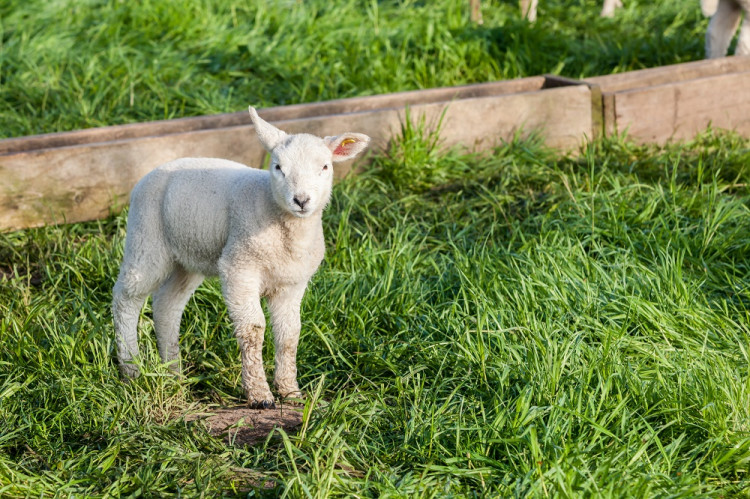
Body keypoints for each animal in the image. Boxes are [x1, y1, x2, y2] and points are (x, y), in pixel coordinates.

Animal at [111, 107, 370, 408]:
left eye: (325, 167)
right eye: (278, 167)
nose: (301, 200)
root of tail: (149, 174)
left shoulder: (292, 283)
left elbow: (289, 334)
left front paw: (290, 392)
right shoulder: (239, 268)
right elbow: (253, 329)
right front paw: (260, 395)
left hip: (188, 255)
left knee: (166, 304)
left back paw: (173, 374)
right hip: (146, 239)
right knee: (126, 297)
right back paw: (131, 368)